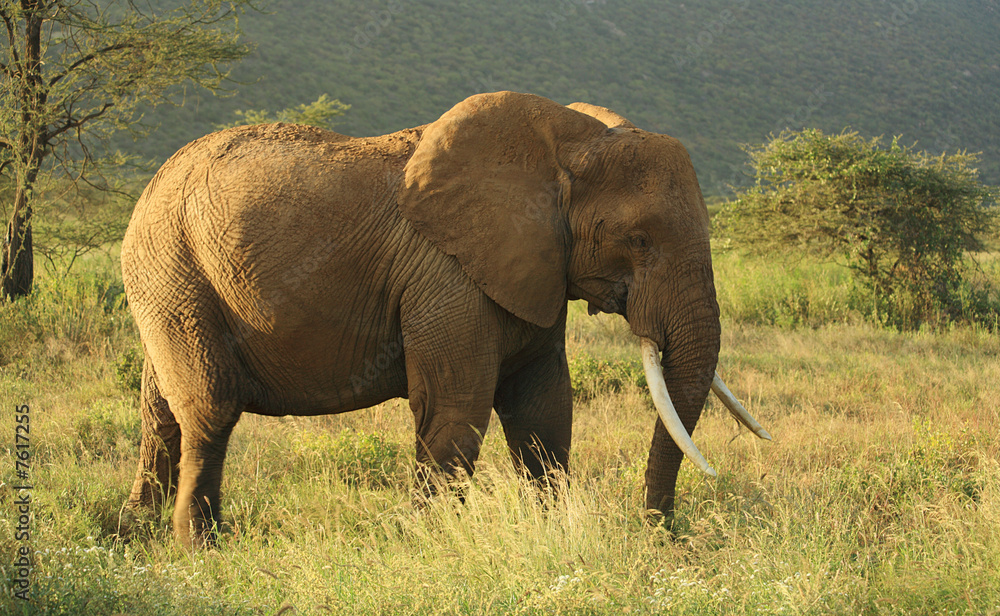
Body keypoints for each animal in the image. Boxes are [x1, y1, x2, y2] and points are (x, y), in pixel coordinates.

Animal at [120, 91, 769, 548]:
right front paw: (424, 544)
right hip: (176, 269)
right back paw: (199, 548)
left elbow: (543, 409)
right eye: (638, 240)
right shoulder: (446, 273)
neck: (565, 139)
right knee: (209, 408)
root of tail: (151, 187)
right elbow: (457, 411)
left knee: (161, 415)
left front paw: (552, 532)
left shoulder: (535, 268)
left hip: (164, 279)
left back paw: (133, 538)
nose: (660, 532)